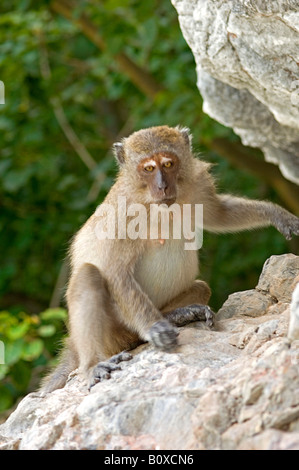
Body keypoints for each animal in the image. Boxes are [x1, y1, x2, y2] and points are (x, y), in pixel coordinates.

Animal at [42, 125, 299, 392]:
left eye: (168, 164)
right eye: (148, 169)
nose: (162, 186)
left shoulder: (196, 184)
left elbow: (218, 214)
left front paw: (275, 213)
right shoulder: (120, 213)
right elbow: (115, 271)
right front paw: (153, 327)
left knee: (201, 287)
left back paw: (177, 315)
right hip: (113, 332)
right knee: (88, 275)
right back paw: (94, 364)